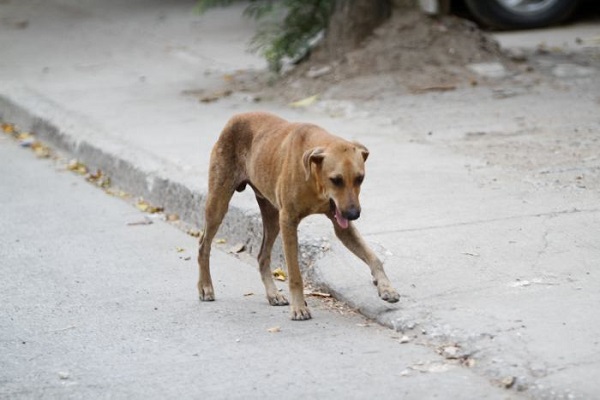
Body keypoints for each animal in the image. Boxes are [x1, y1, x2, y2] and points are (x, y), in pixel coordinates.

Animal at [199, 111, 400, 318]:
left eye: (360, 178)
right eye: (336, 180)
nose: (353, 214)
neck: (315, 180)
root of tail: (235, 117)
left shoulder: (341, 225)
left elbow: (373, 257)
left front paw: (386, 287)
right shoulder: (288, 221)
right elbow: (295, 274)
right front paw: (299, 307)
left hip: (272, 216)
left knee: (262, 256)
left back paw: (273, 294)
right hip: (218, 205)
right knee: (203, 245)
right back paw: (205, 287)